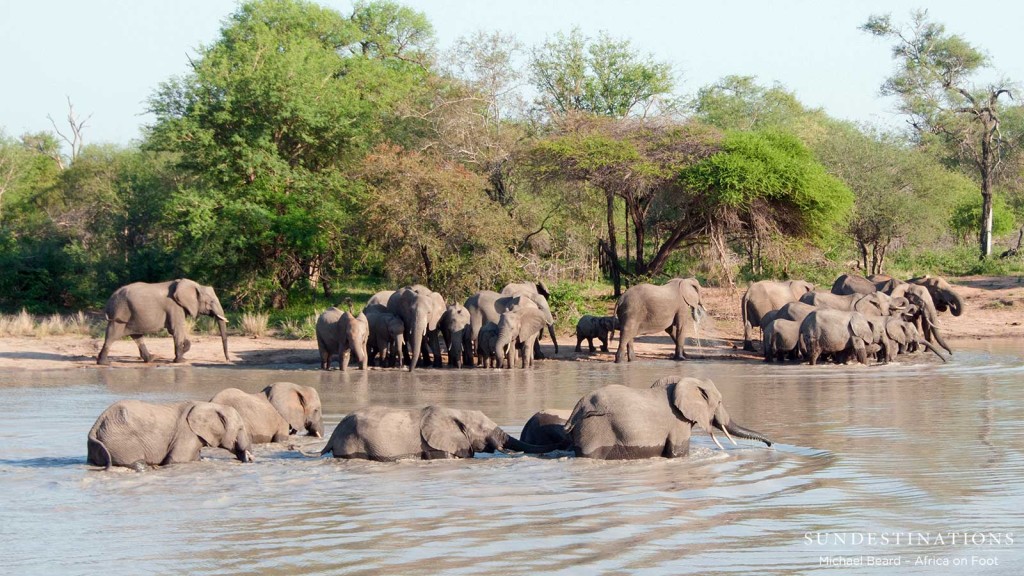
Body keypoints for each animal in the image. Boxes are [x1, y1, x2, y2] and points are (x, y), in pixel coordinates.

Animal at [87, 397, 252, 469]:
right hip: (122, 441)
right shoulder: (187, 434)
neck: (210, 405)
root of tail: (96, 425)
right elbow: (177, 460)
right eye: (240, 429)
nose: (249, 459)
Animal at [565, 375, 770, 459]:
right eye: (719, 402)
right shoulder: (678, 423)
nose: (770, 445)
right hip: (595, 428)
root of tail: (579, 407)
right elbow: (677, 453)